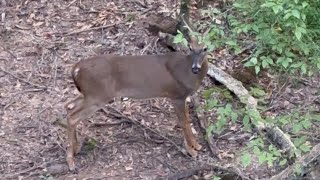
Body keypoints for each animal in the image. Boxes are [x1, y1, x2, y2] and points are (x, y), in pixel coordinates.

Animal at [65, 35, 210, 172]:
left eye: (205, 48)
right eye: (190, 47)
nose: (196, 68)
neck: (187, 72)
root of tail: (76, 68)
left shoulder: (182, 97)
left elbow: (187, 121)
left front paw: (196, 146)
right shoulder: (177, 95)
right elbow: (184, 122)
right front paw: (192, 151)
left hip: (88, 94)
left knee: (68, 106)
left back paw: (76, 148)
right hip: (97, 95)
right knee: (73, 117)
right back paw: (71, 162)